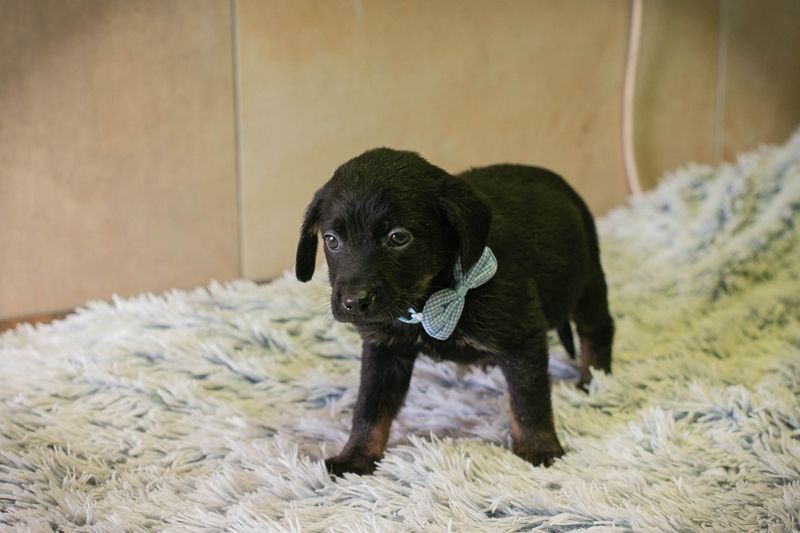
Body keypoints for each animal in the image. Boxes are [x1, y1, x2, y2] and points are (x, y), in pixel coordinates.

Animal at [295, 148, 614, 476]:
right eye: (331, 240)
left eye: (398, 237)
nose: (354, 302)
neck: (430, 295)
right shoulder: (384, 349)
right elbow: (370, 407)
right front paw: (356, 455)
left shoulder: (523, 339)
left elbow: (529, 402)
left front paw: (539, 446)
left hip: (588, 279)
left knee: (598, 329)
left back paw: (594, 381)